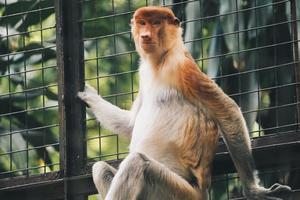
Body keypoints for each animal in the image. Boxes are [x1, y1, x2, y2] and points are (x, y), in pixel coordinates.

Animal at [77, 6, 290, 200]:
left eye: (156, 23)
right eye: (142, 23)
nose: (145, 36)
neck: (160, 61)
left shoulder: (181, 67)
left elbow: (227, 110)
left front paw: (254, 190)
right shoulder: (144, 73)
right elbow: (130, 124)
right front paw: (89, 94)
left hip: (178, 191)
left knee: (136, 163)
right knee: (100, 168)